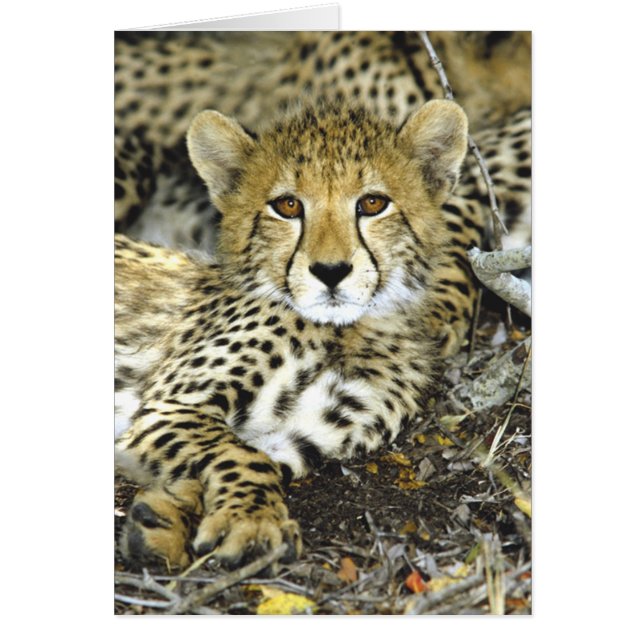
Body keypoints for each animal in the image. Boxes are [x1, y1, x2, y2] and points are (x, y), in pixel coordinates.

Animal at [114, 31, 532, 571]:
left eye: (372, 203)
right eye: (287, 206)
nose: (330, 272)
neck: (350, 331)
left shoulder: (301, 435)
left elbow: (258, 458)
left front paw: (170, 515)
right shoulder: (171, 406)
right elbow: (240, 455)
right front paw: (252, 523)